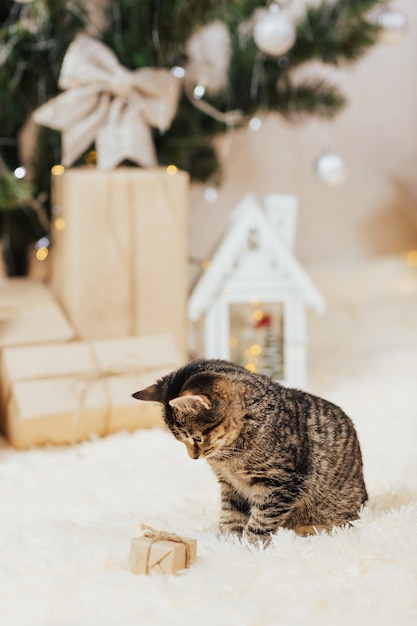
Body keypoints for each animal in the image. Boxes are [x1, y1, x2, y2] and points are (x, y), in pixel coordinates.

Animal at [132, 356, 366, 540]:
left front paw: (250, 545)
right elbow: (230, 514)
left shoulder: (282, 483)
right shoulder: (230, 485)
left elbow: (262, 520)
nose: (193, 457)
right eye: (181, 440)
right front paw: (227, 541)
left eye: (196, 438)